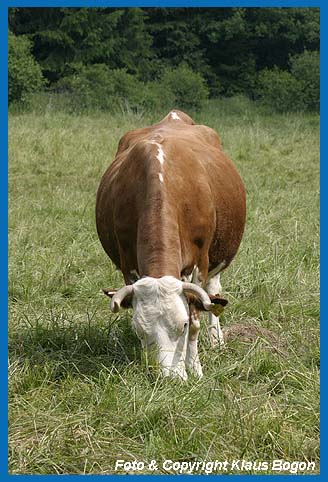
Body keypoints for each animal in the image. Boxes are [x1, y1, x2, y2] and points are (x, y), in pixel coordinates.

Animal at [96, 109, 245, 380]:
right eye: (139, 330)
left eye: (182, 325)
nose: (167, 378)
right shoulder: (127, 262)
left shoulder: (200, 262)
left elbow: (198, 315)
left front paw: (194, 367)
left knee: (214, 293)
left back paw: (216, 339)